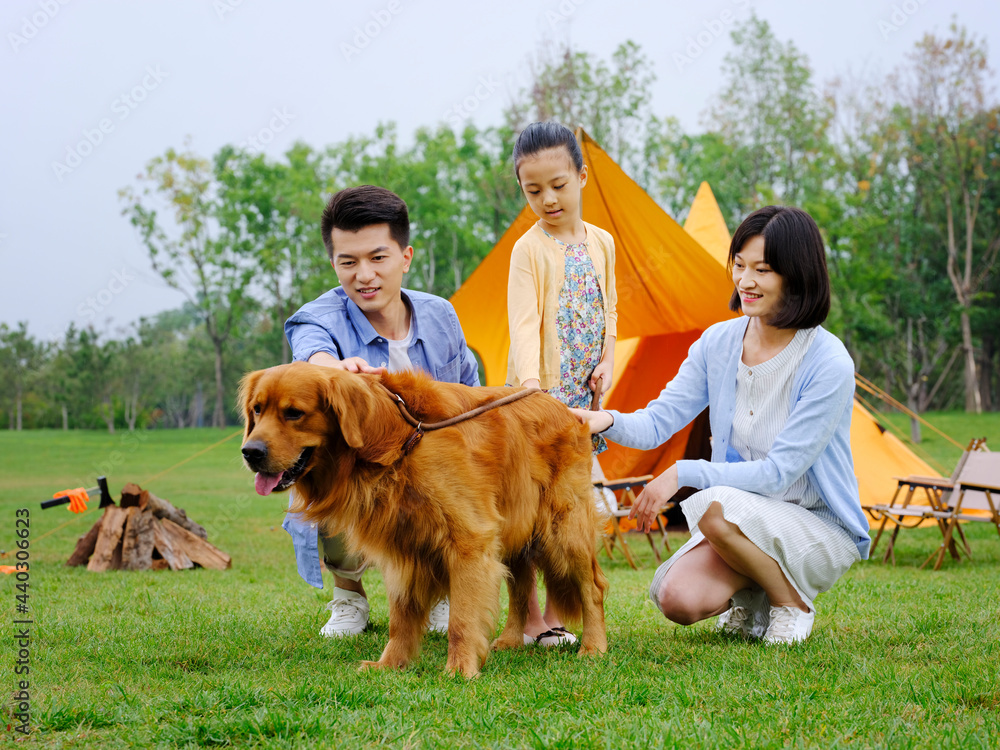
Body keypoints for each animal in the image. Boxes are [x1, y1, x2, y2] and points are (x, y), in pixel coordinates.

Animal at [238, 364, 608, 680]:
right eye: (257, 410)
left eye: (294, 413)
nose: (250, 452)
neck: (396, 439)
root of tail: (565, 409)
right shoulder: (403, 548)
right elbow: (400, 619)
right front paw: (391, 664)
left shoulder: (469, 541)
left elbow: (461, 619)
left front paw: (460, 669)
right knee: (521, 588)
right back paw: (510, 640)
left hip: (564, 530)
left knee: (592, 587)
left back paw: (594, 647)